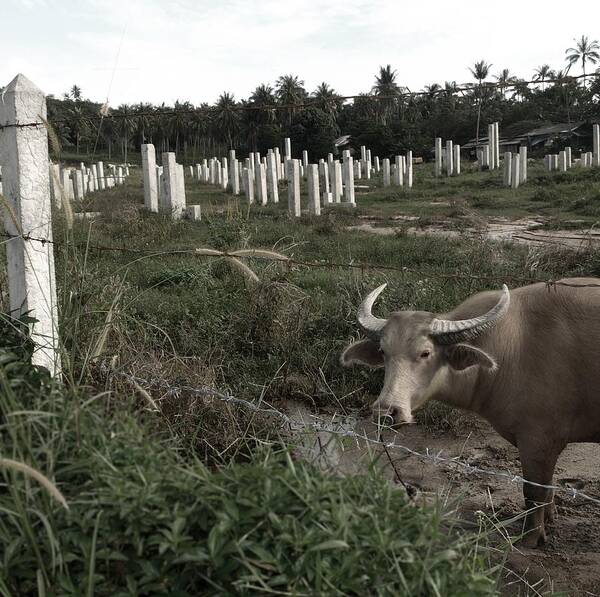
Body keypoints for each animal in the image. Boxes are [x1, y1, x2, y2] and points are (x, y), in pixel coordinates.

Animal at [342, 278, 600, 548]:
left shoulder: (538, 439)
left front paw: (530, 537)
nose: (386, 411)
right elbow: (546, 488)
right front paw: (548, 521)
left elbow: (533, 491)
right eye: (383, 352)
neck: (514, 348)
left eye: (425, 353)